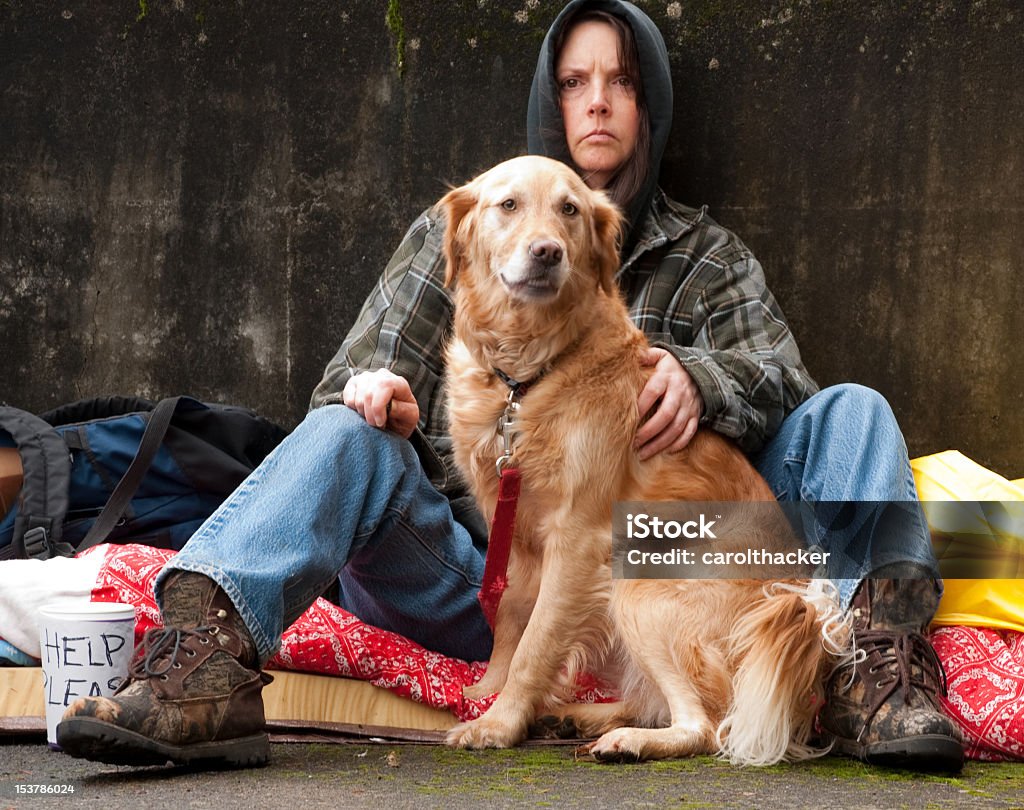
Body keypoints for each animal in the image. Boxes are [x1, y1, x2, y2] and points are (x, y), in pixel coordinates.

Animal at [436, 156, 843, 765]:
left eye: (569, 209)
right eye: (507, 205)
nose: (547, 252)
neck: (526, 374)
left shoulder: (576, 538)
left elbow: (536, 642)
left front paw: (500, 722)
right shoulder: (516, 528)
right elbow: (510, 622)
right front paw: (487, 692)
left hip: (641, 589)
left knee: (707, 726)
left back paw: (626, 740)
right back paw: (577, 716)